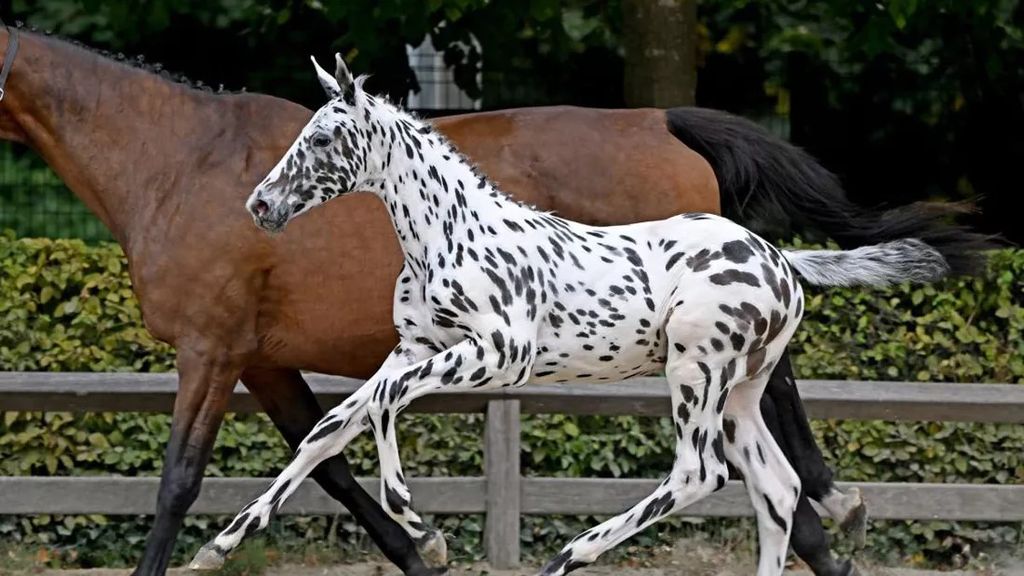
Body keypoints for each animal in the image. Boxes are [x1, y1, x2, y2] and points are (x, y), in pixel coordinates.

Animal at [0, 23, 991, 576]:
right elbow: (330, 450)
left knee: (727, 457)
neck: (173, 164)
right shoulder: (275, 359)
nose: (263, 208)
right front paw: (419, 547)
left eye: (320, 141)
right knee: (769, 469)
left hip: (686, 360)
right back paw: (824, 526)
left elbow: (180, 480)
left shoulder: (215, 347)